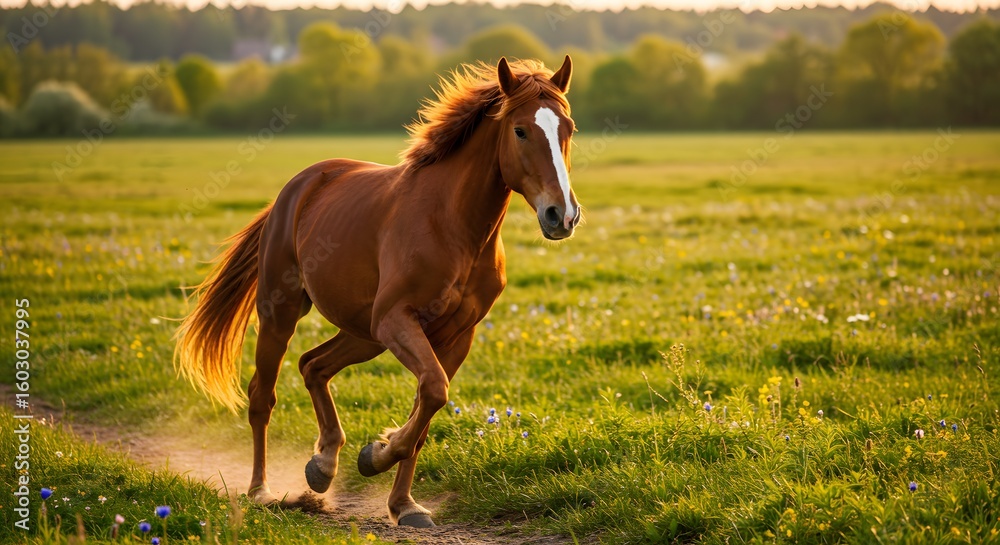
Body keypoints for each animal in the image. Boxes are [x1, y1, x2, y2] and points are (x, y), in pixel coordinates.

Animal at [175, 55, 581, 528]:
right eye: (520, 130)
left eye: (568, 128)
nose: (561, 215)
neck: (453, 225)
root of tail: (296, 189)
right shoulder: (395, 319)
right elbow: (434, 391)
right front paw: (375, 455)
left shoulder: (456, 337)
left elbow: (428, 406)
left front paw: (403, 503)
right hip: (284, 312)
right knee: (263, 394)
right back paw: (262, 491)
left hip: (363, 334)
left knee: (313, 365)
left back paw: (323, 465)